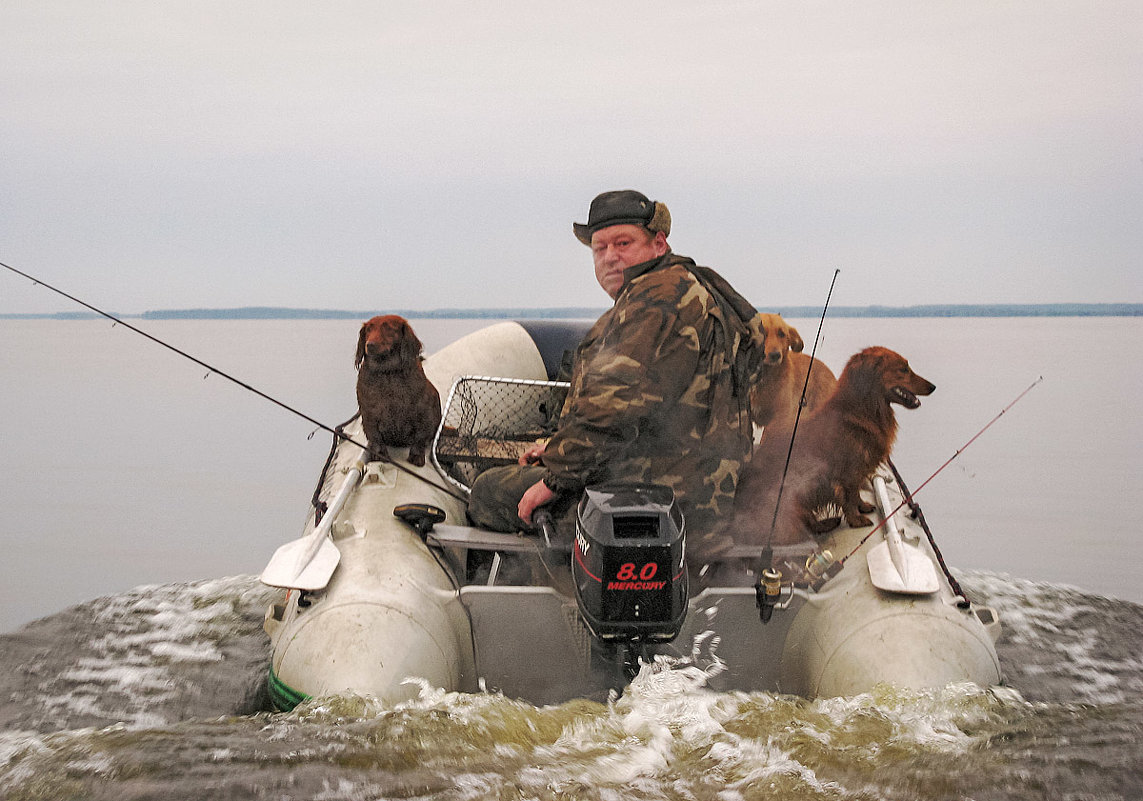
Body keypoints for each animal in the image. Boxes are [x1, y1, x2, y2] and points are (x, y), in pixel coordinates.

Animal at [356, 313, 441, 466]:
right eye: (368, 329)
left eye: (389, 328)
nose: (369, 345)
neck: (388, 373)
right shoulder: (369, 415)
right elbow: (376, 438)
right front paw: (380, 455)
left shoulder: (423, 413)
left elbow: (419, 439)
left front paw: (416, 456)